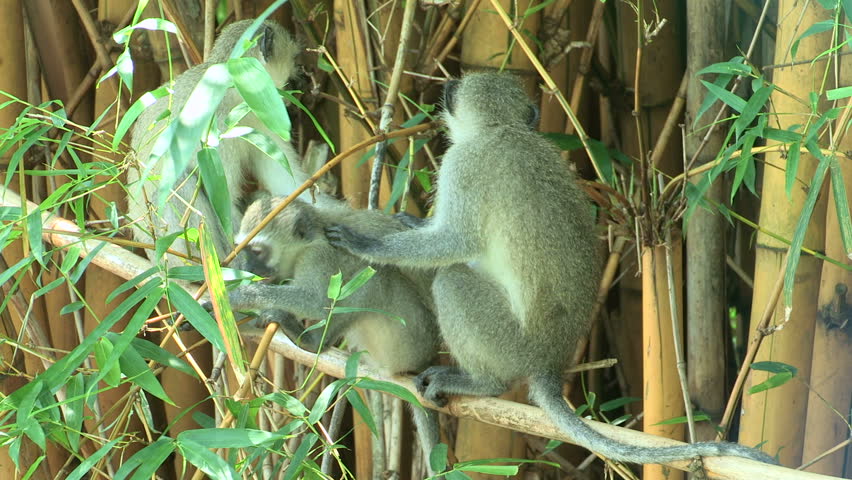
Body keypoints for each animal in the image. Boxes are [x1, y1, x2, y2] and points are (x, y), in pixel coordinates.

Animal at [127, 19, 336, 271]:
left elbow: (289, 185)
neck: (231, 91)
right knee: (177, 183)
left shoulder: (260, 118)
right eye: (294, 60)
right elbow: (222, 204)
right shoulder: (212, 128)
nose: (300, 81)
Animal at [213, 195, 442, 473]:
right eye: (244, 250)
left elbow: (314, 301)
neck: (312, 237)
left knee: (373, 276)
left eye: (257, 251)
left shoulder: (319, 257)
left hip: (409, 339)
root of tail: (425, 360)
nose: (249, 268)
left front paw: (237, 297)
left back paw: (311, 342)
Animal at [325, 72, 778, 466]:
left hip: (508, 341)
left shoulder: (463, 164)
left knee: (452, 281)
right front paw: (408, 222)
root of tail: (548, 362)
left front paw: (368, 245)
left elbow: (454, 242)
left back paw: (481, 382)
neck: (501, 129)